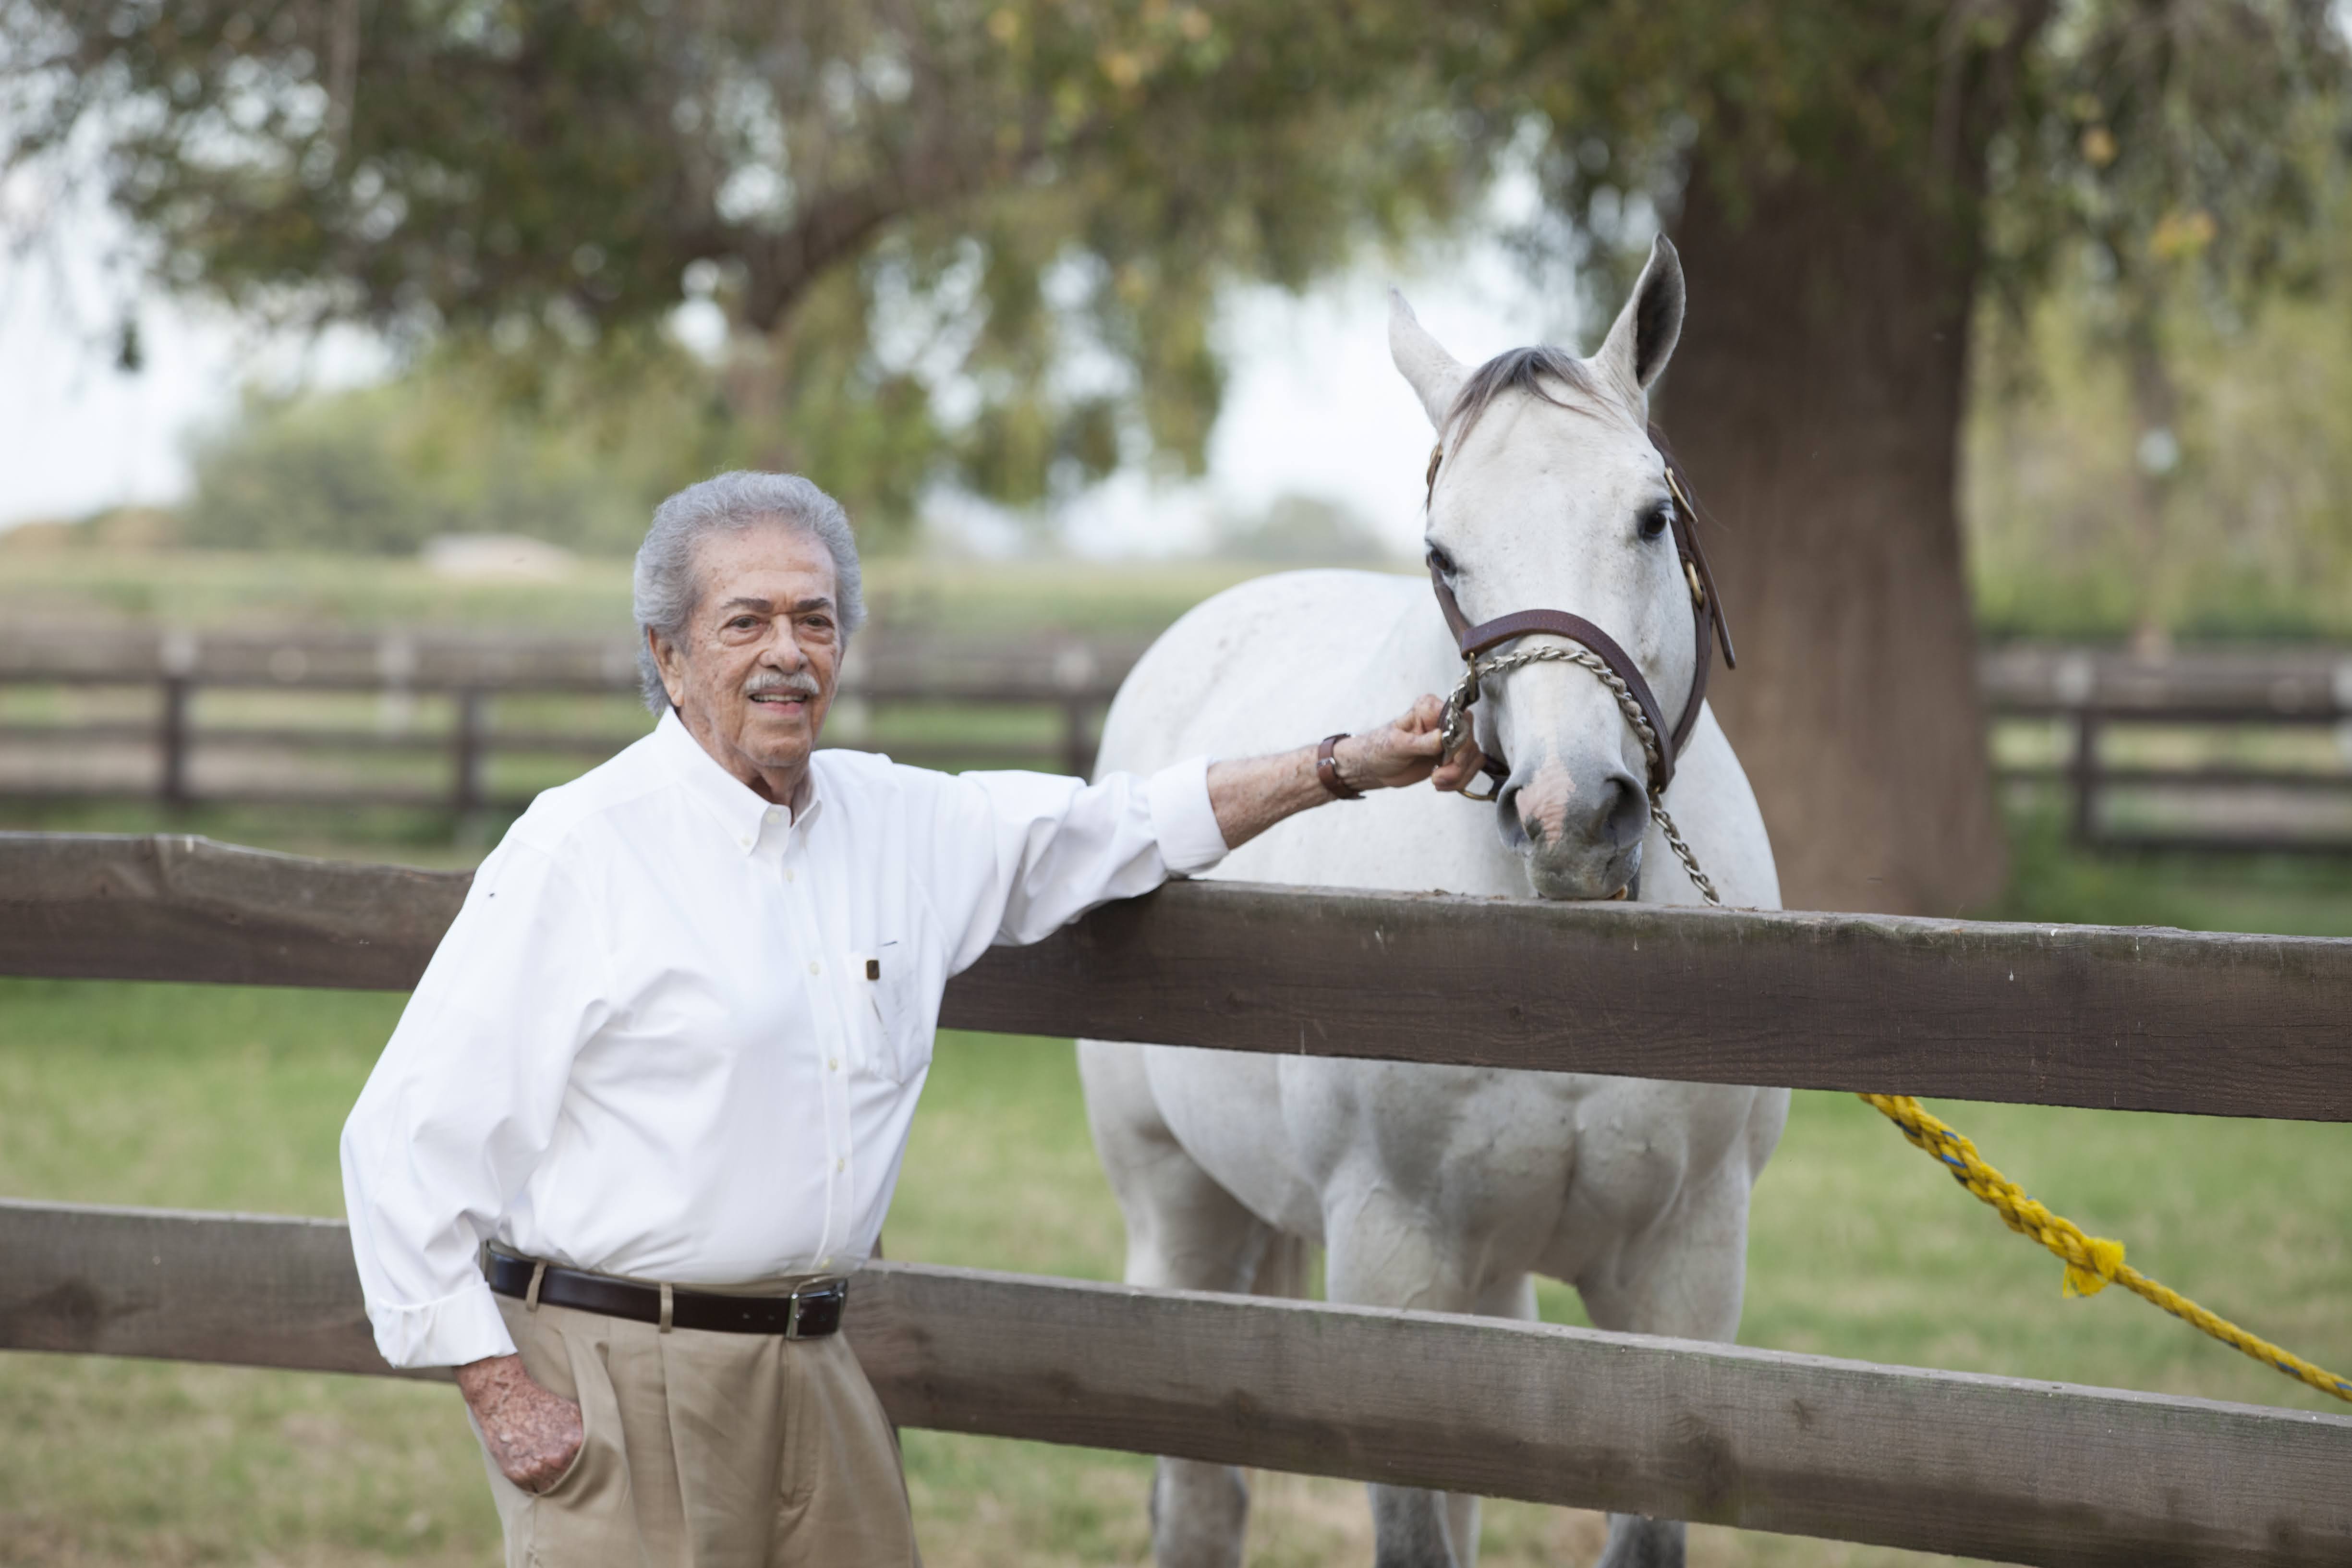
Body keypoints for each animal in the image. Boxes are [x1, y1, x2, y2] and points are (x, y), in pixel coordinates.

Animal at [1077, 240, 1778, 1568]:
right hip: (1180, 1211)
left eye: (1650, 517)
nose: (1571, 818)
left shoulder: (1683, 1277)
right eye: (1443, 553)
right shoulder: (1391, 1270)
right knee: (1196, 1495)